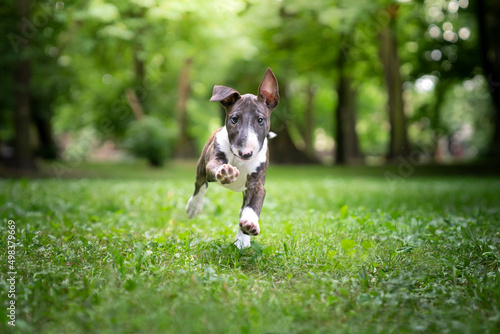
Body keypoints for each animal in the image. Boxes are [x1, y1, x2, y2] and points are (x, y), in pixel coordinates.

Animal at [187, 68, 282, 248]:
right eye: (234, 119)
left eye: (260, 120)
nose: (245, 153)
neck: (240, 161)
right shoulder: (214, 160)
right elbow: (215, 168)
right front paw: (226, 173)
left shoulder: (257, 183)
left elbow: (254, 204)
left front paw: (249, 226)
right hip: (201, 165)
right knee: (200, 184)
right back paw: (194, 206)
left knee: (242, 208)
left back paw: (242, 237)